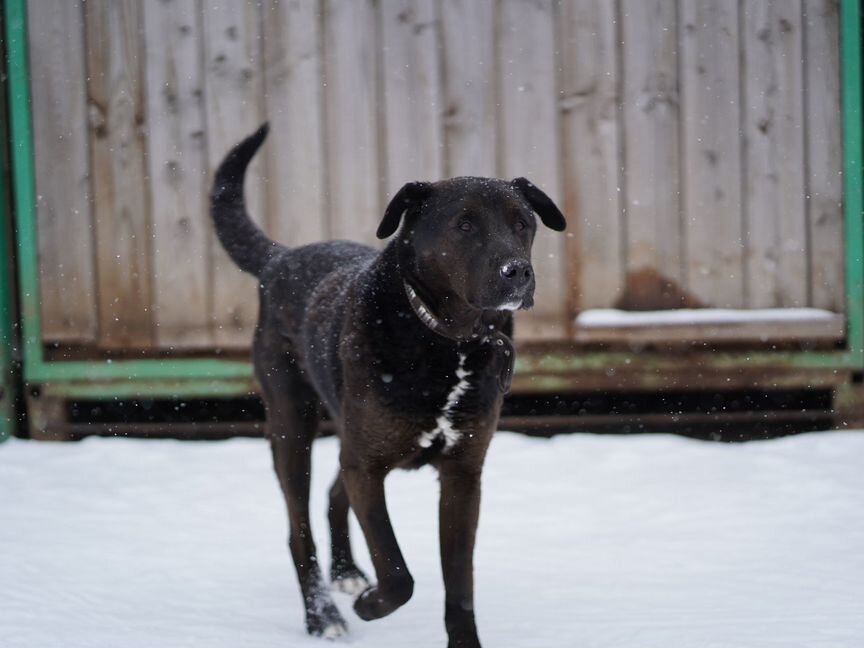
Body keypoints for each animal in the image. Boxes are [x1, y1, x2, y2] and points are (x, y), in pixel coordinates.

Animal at [211, 126, 568, 648]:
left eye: (522, 223)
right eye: (464, 225)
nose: (517, 272)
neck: (448, 340)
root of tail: (281, 257)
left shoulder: (463, 474)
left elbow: (460, 583)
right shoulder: (369, 466)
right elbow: (399, 574)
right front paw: (369, 605)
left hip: (350, 433)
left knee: (333, 494)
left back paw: (345, 572)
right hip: (291, 425)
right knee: (299, 528)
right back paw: (323, 615)